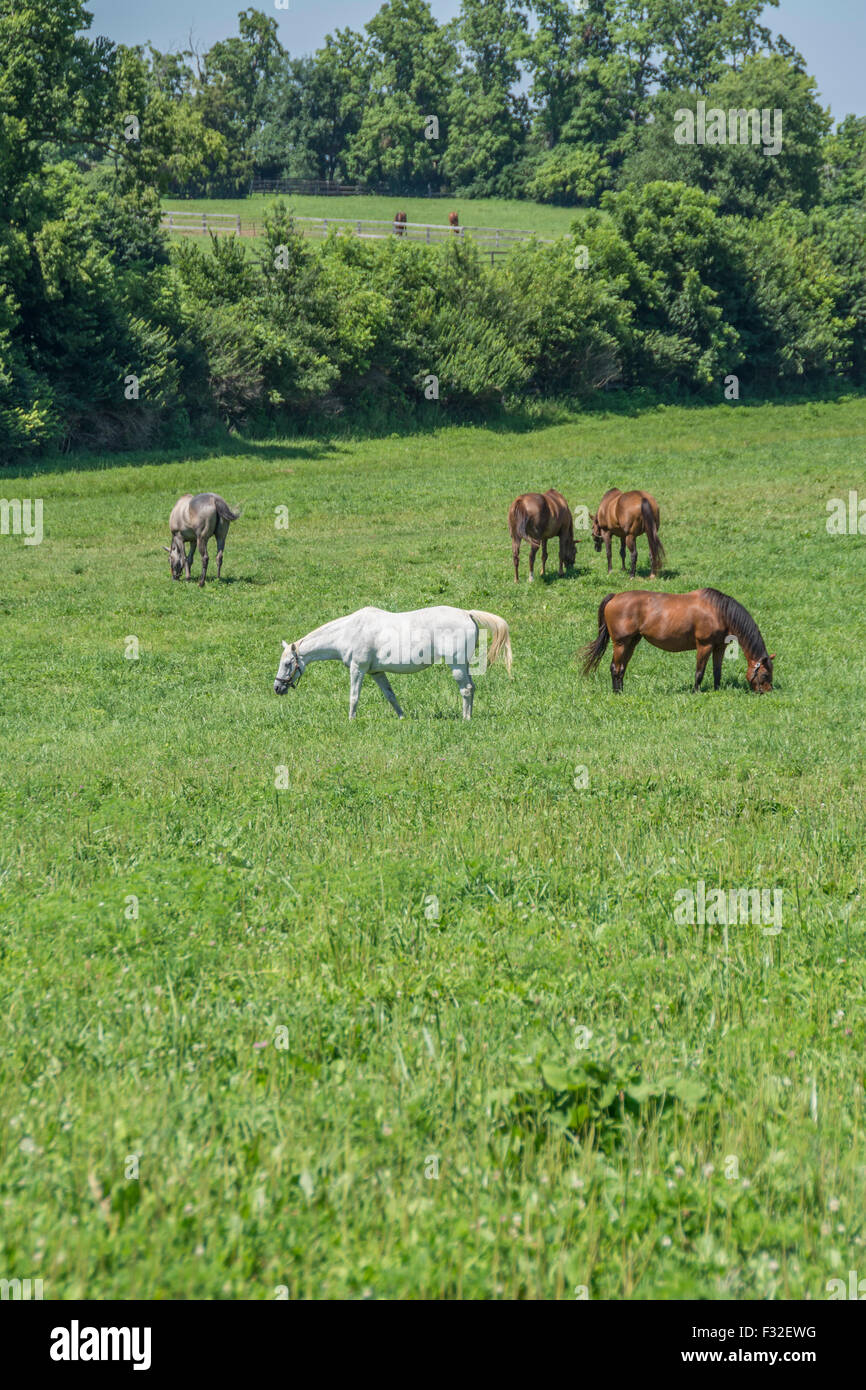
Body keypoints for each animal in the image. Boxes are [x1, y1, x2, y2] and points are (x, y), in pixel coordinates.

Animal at [273, 605, 512, 720]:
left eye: (287, 664)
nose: (277, 688)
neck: (349, 631)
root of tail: (467, 614)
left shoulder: (358, 669)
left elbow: (354, 696)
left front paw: (351, 719)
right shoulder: (376, 673)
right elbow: (390, 696)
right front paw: (402, 717)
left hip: (457, 665)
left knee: (466, 689)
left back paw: (466, 719)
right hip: (463, 665)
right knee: (471, 688)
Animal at [581, 588, 775, 694]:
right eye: (765, 674)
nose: (767, 692)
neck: (719, 611)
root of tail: (614, 597)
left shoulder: (719, 647)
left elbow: (717, 672)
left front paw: (717, 690)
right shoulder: (704, 645)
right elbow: (699, 672)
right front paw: (695, 692)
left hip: (632, 642)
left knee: (621, 668)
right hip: (621, 643)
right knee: (615, 668)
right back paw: (617, 693)